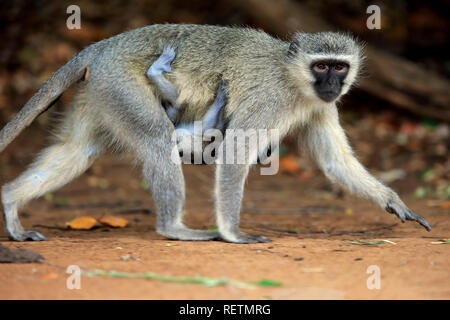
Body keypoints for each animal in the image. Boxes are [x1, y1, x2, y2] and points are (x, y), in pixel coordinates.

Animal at [0, 25, 428, 242]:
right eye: (321, 66)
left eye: (339, 67)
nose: (332, 84)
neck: (293, 80)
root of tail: (101, 46)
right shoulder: (269, 100)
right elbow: (237, 151)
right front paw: (233, 233)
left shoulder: (320, 106)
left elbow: (335, 161)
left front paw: (392, 200)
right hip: (120, 81)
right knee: (156, 137)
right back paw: (173, 229)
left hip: (102, 89)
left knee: (76, 150)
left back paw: (10, 203)